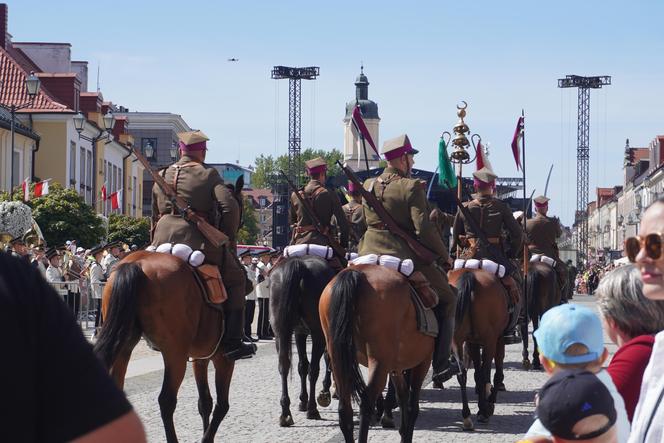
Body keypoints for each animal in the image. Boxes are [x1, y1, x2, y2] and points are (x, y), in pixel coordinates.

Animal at [268, 255, 334, 428]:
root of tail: (298, 263)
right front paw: (324, 393)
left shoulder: (299, 333)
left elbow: (302, 366)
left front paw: (303, 400)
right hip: (318, 335)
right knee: (314, 369)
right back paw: (312, 409)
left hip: (281, 333)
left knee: (284, 366)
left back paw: (285, 413)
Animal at [320, 266, 434, 442]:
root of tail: (358, 273)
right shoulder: (423, 362)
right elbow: (412, 405)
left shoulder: (395, 368)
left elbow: (402, 395)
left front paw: (402, 430)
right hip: (379, 362)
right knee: (366, 404)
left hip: (338, 360)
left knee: (345, 410)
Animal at [448, 268, 510, 432]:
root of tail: (469, 274)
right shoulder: (498, 339)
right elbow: (495, 373)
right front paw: (489, 404)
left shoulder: (472, 342)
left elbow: (476, 373)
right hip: (490, 340)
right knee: (485, 372)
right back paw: (483, 412)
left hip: (456, 339)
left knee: (461, 374)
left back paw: (466, 417)